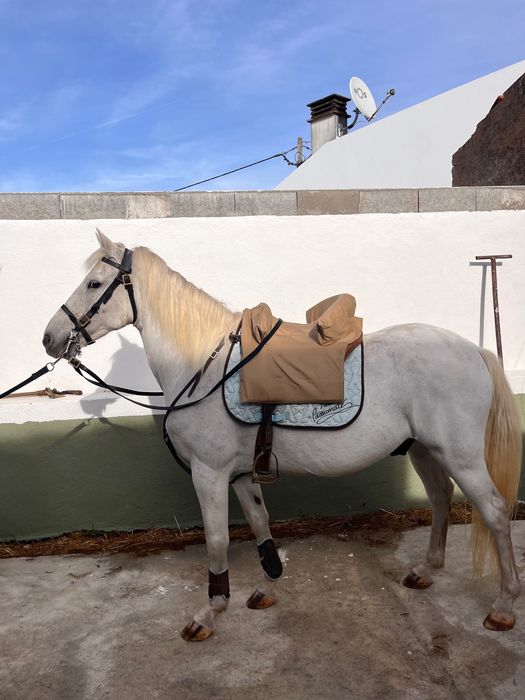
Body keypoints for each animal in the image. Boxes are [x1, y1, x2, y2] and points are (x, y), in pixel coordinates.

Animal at [42, 229, 522, 641]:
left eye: (94, 283)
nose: (50, 338)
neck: (205, 366)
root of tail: (474, 350)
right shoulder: (239, 475)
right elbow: (260, 524)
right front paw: (269, 585)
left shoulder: (209, 473)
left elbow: (217, 541)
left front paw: (209, 613)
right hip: (423, 450)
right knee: (441, 499)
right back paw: (426, 570)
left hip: (459, 455)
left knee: (495, 511)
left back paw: (503, 607)